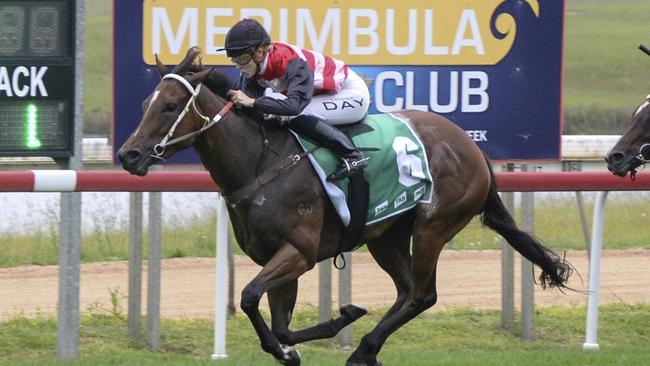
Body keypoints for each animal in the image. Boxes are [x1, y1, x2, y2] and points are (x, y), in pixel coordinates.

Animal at [116, 47, 568, 364]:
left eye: (169, 106)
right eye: (144, 105)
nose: (128, 156)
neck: (259, 162)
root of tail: (471, 147)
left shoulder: (298, 251)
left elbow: (247, 296)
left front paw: (330, 326)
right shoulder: (279, 257)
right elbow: (280, 325)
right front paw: (313, 335)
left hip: (434, 225)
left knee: (422, 294)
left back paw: (364, 349)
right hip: (387, 234)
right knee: (408, 290)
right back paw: (367, 347)